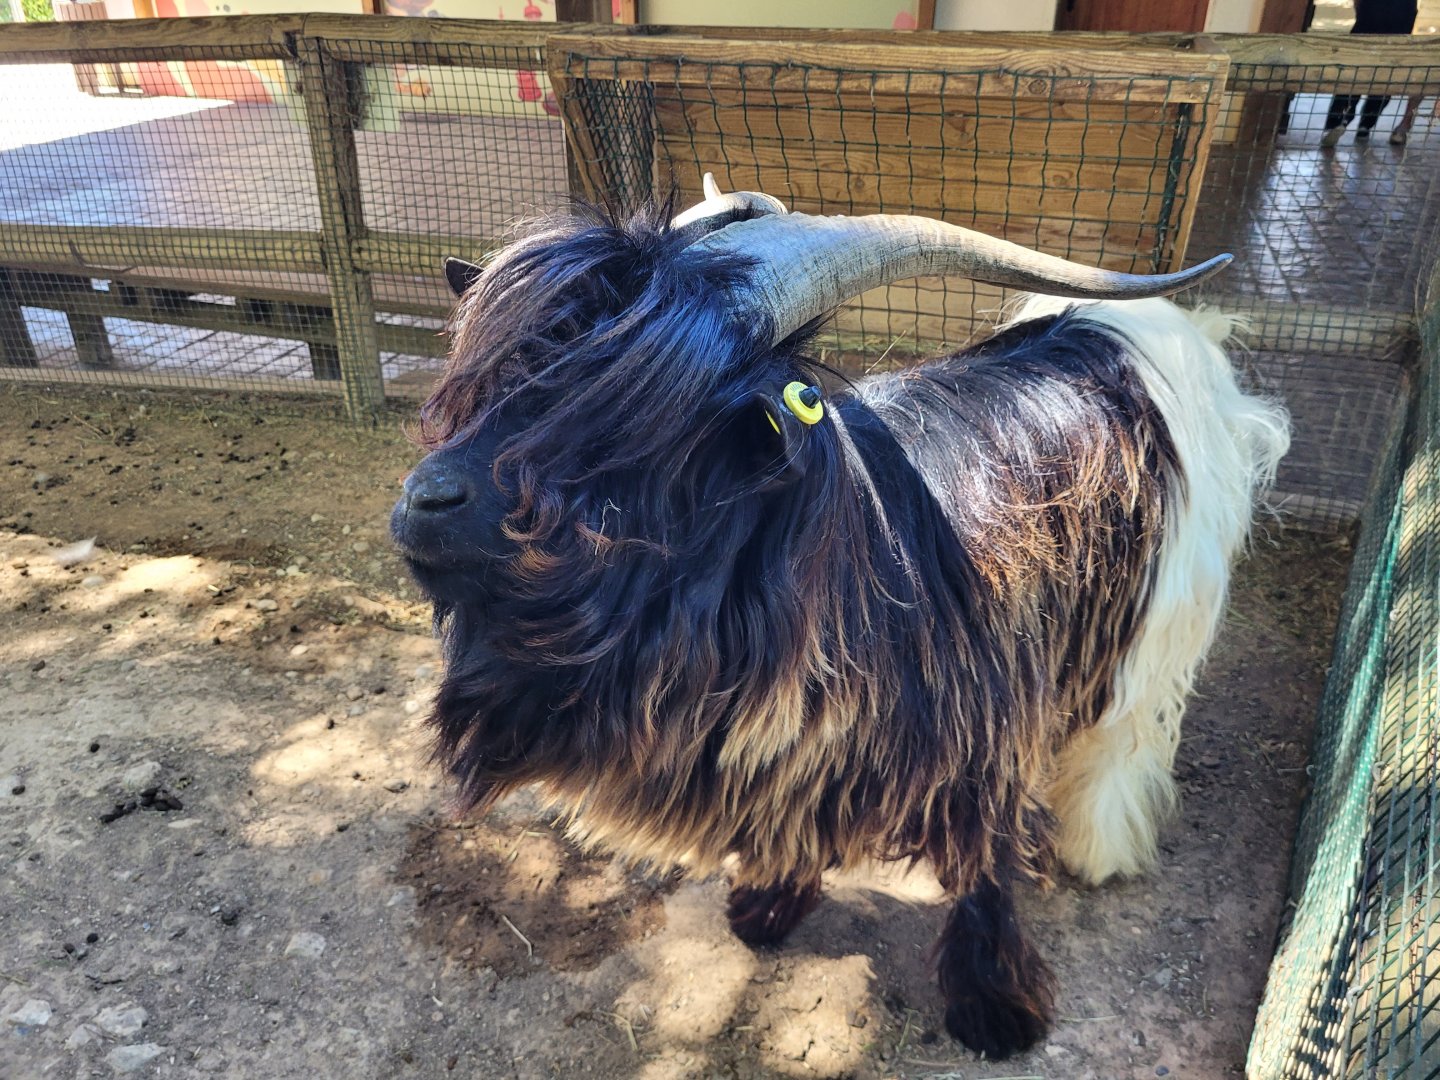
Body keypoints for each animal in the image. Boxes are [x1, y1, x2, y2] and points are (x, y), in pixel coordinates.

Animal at [392, 180, 1288, 1059]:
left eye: (643, 413)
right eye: (503, 370)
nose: (425, 501)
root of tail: (1134, 329)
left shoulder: (990, 727)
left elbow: (986, 857)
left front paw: (996, 1006)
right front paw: (769, 904)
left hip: (1165, 613)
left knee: (1126, 735)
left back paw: (1098, 849)